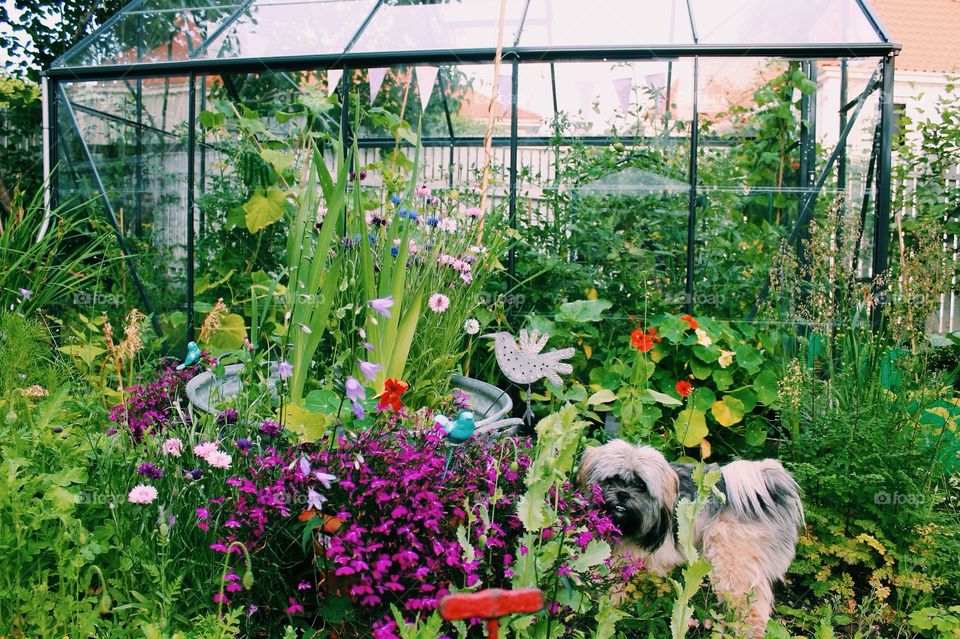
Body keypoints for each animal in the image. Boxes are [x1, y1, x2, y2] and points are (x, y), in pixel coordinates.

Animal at [580, 442, 808, 636]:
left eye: (641, 485)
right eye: (611, 479)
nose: (622, 494)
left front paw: (612, 607)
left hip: (733, 564)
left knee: (753, 607)